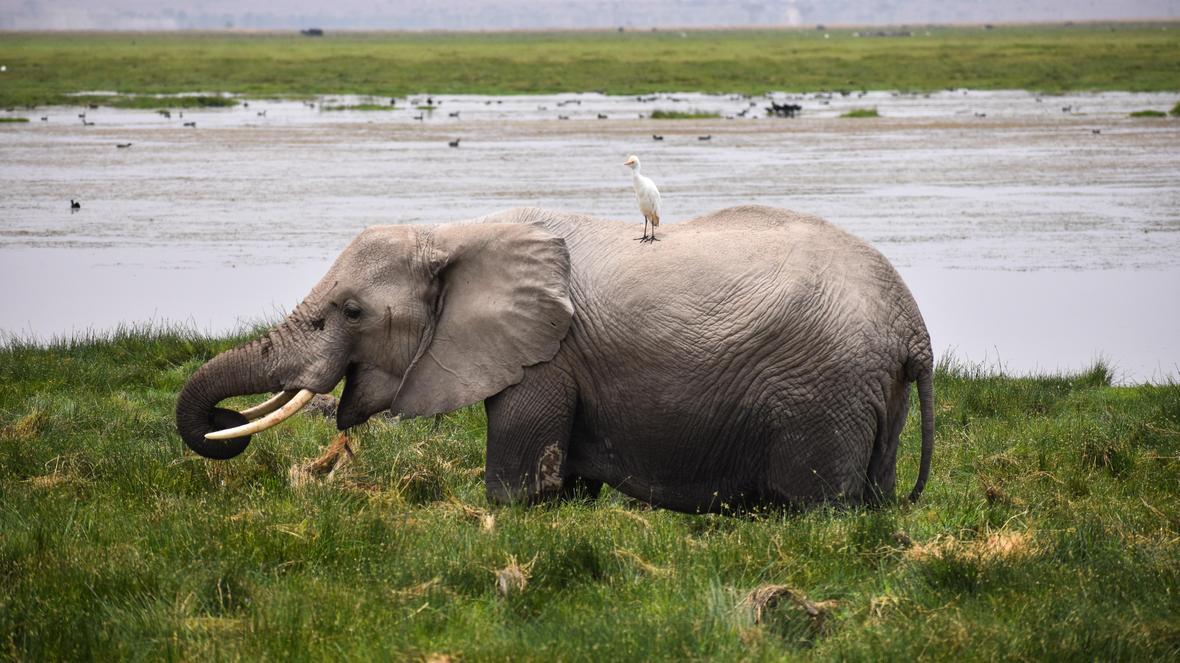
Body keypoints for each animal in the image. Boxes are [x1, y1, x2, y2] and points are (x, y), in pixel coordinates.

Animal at [176, 205, 934, 512]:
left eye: (353, 312)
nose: (222, 421)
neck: (455, 232)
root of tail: (916, 332)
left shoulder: (546, 361)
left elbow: (518, 487)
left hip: (823, 390)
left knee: (817, 510)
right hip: (869, 391)